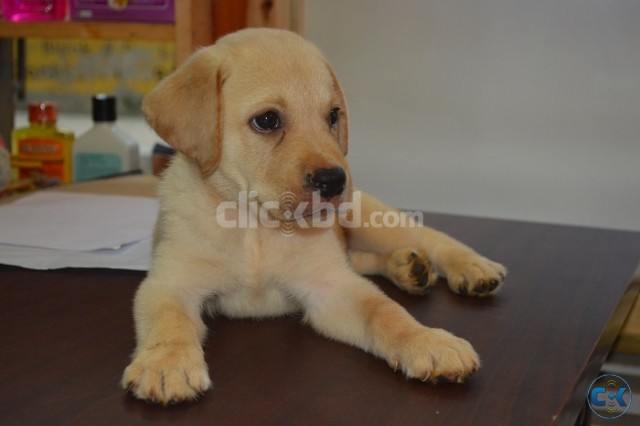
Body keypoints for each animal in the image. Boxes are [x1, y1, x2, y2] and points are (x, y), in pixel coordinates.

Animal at [122, 28, 508, 404]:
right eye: (267, 120)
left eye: (333, 116)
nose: (335, 181)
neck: (255, 226)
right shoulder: (170, 283)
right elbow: (168, 321)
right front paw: (167, 363)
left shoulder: (331, 286)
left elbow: (385, 311)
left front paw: (428, 341)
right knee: (363, 258)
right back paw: (409, 268)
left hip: (371, 219)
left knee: (432, 240)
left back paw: (471, 268)